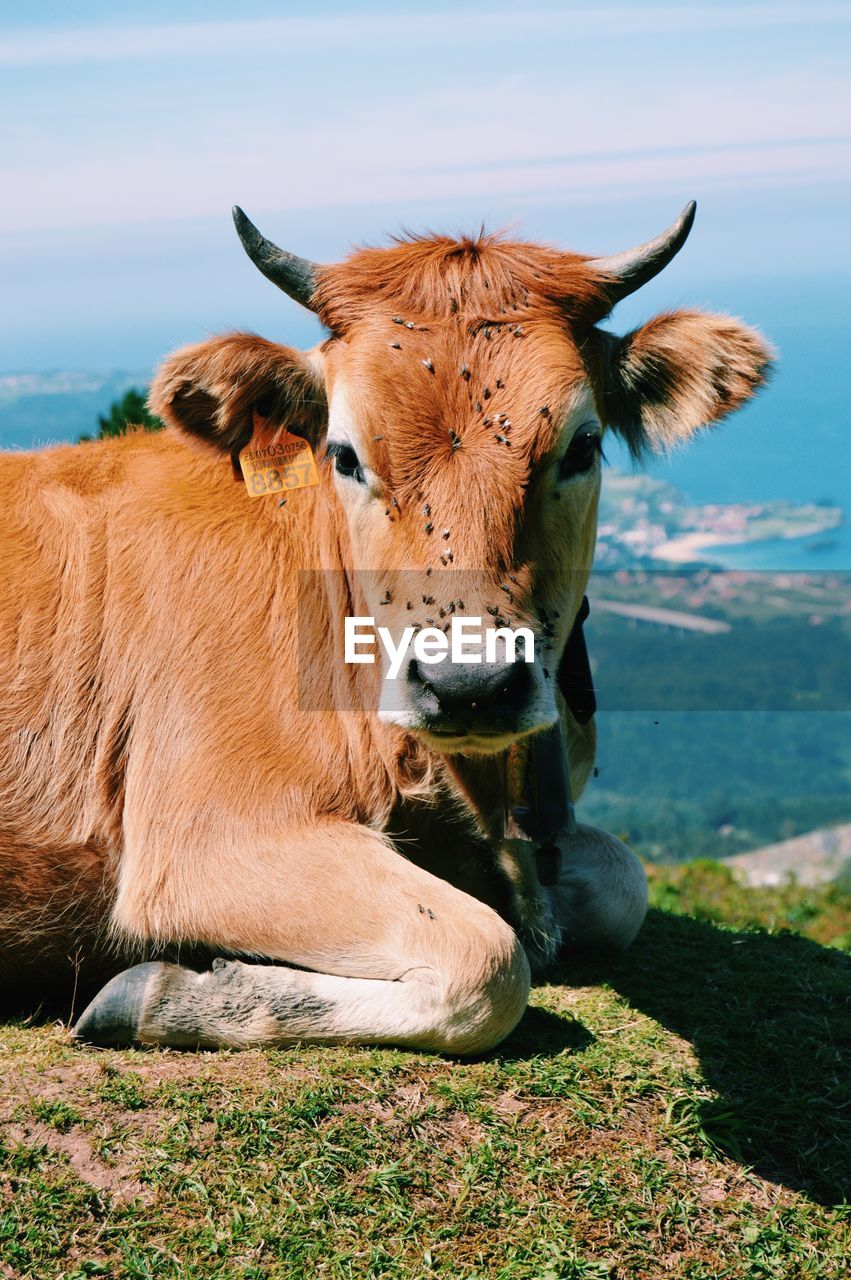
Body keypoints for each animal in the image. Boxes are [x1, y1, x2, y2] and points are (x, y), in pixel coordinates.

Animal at [0, 202, 767, 1049]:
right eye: (342, 454)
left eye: (583, 445)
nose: (469, 684)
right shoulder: (207, 834)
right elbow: (485, 963)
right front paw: (159, 989)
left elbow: (619, 883)